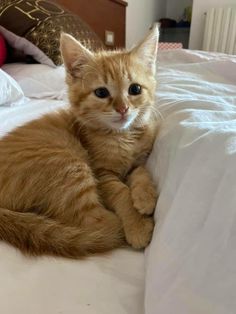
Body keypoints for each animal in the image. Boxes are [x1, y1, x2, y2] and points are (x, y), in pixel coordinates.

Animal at [0, 27, 159, 258]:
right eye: (101, 92)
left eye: (135, 89)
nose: (123, 109)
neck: (122, 136)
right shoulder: (102, 175)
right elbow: (120, 192)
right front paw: (137, 225)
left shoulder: (139, 160)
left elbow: (141, 172)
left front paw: (145, 197)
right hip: (70, 165)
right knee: (94, 223)